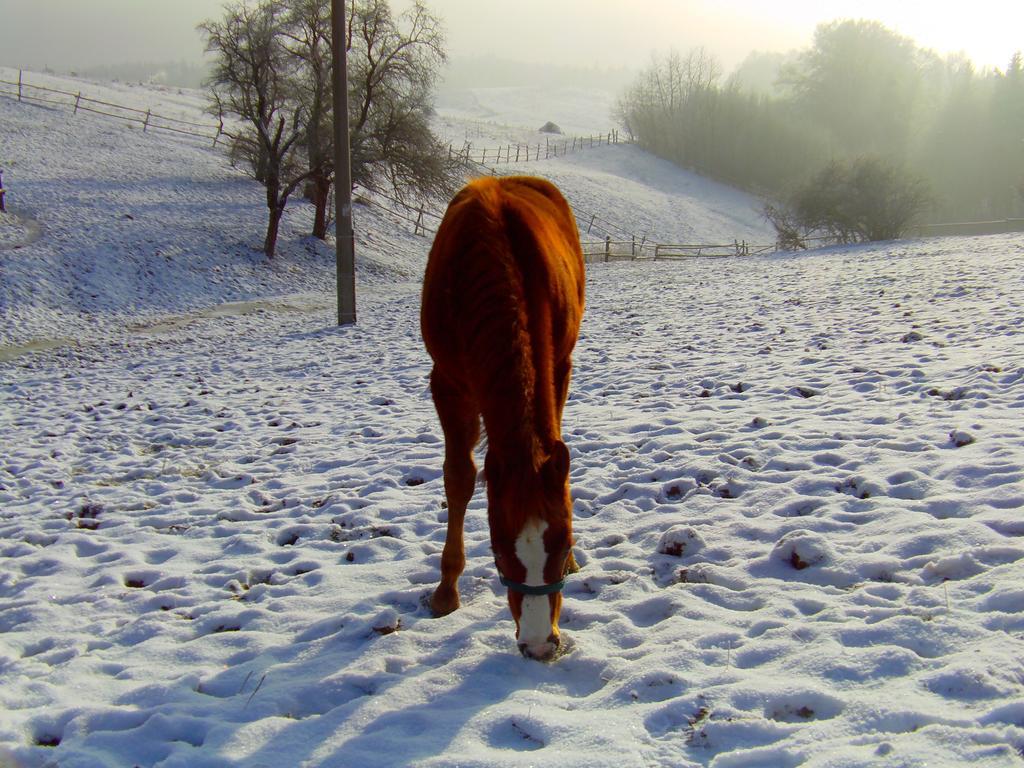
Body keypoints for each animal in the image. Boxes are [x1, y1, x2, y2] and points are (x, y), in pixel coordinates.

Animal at [421, 176, 585, 663]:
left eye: (564, 543)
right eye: (496, 553)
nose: (539, 644)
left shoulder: (557, 366)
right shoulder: (448, 384)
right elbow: (459, 479)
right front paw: (446, 590)